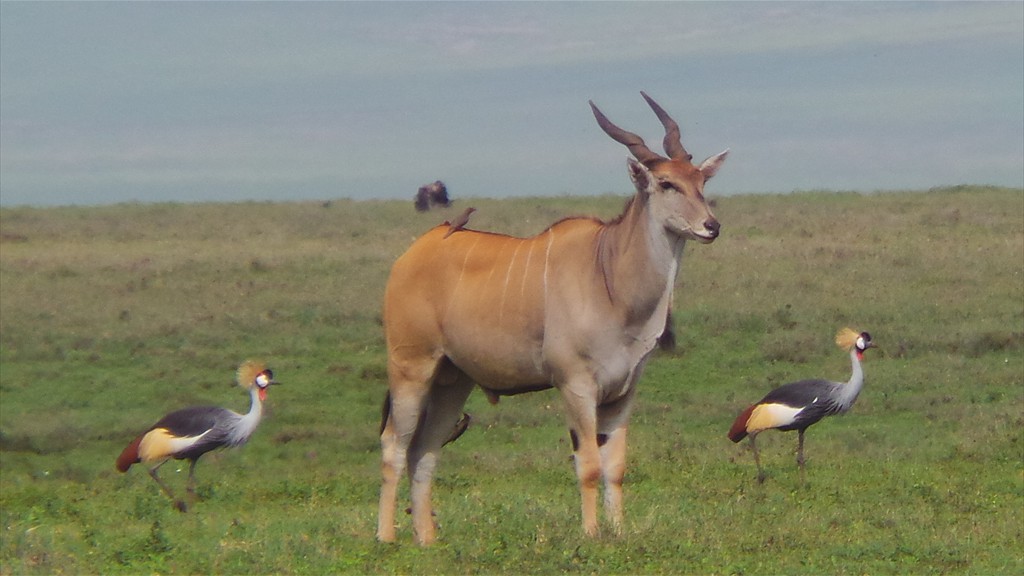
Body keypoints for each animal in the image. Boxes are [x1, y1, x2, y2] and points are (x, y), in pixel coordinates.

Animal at [378, 93, 729, 541]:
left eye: (701, 182)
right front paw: (592, 534)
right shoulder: (576, 386)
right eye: (667, 184)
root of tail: (412, 254)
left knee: (424, 450)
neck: (608, 275)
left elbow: (615, 467)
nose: (711, 226)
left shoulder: (623, 392)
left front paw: (618, 533)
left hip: (452, 381)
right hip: (412, 368)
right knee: (394, 445)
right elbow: (590, 466)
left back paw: (427, 541)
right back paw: (386, 538)